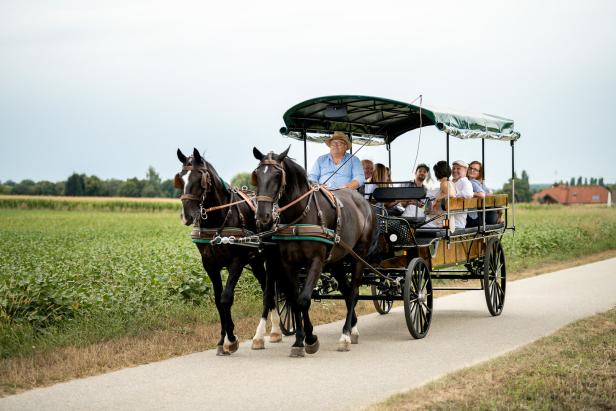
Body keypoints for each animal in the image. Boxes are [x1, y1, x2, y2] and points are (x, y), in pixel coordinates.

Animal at [176, 150, 282, 356]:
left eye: (200, 179)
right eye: (181, 178)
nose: (187, 216)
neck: (219, 218)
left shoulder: (237, 261)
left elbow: (226, 298)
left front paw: (231, 340)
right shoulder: (209, 264)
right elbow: (218, 301)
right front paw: (222, 339)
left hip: (272, 259)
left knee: (269, 290)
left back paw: (265, 334)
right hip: (256, 262)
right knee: (267, 288)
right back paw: (274, 331)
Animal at [251, 148, 378, 358]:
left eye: (277, 175)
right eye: (257, 175)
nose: (262, 216)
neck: (300, 215)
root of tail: (364, 203)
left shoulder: (316, 261)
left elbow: (303, 300)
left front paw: (310, 339)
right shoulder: (288, 264)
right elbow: (294, 300)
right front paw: (299, 340)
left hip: (358, 255)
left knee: (353, 292)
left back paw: (345, 336)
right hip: (336, 260)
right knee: (346, 290)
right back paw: (352, 328)